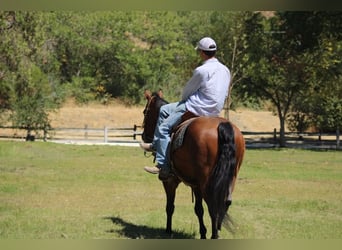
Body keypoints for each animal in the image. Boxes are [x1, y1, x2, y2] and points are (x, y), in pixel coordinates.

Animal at [140, 92, 244, 238]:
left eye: (145, 111)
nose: (144, 136)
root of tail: (223, 126)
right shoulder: (196, 185)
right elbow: (198, 209)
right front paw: (202, 233)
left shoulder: (170, 181)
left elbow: (170, 206)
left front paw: (168, 230)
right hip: (230, 179)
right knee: (224, 203)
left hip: (208, 184)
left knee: (213, 206)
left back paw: (214, 236)